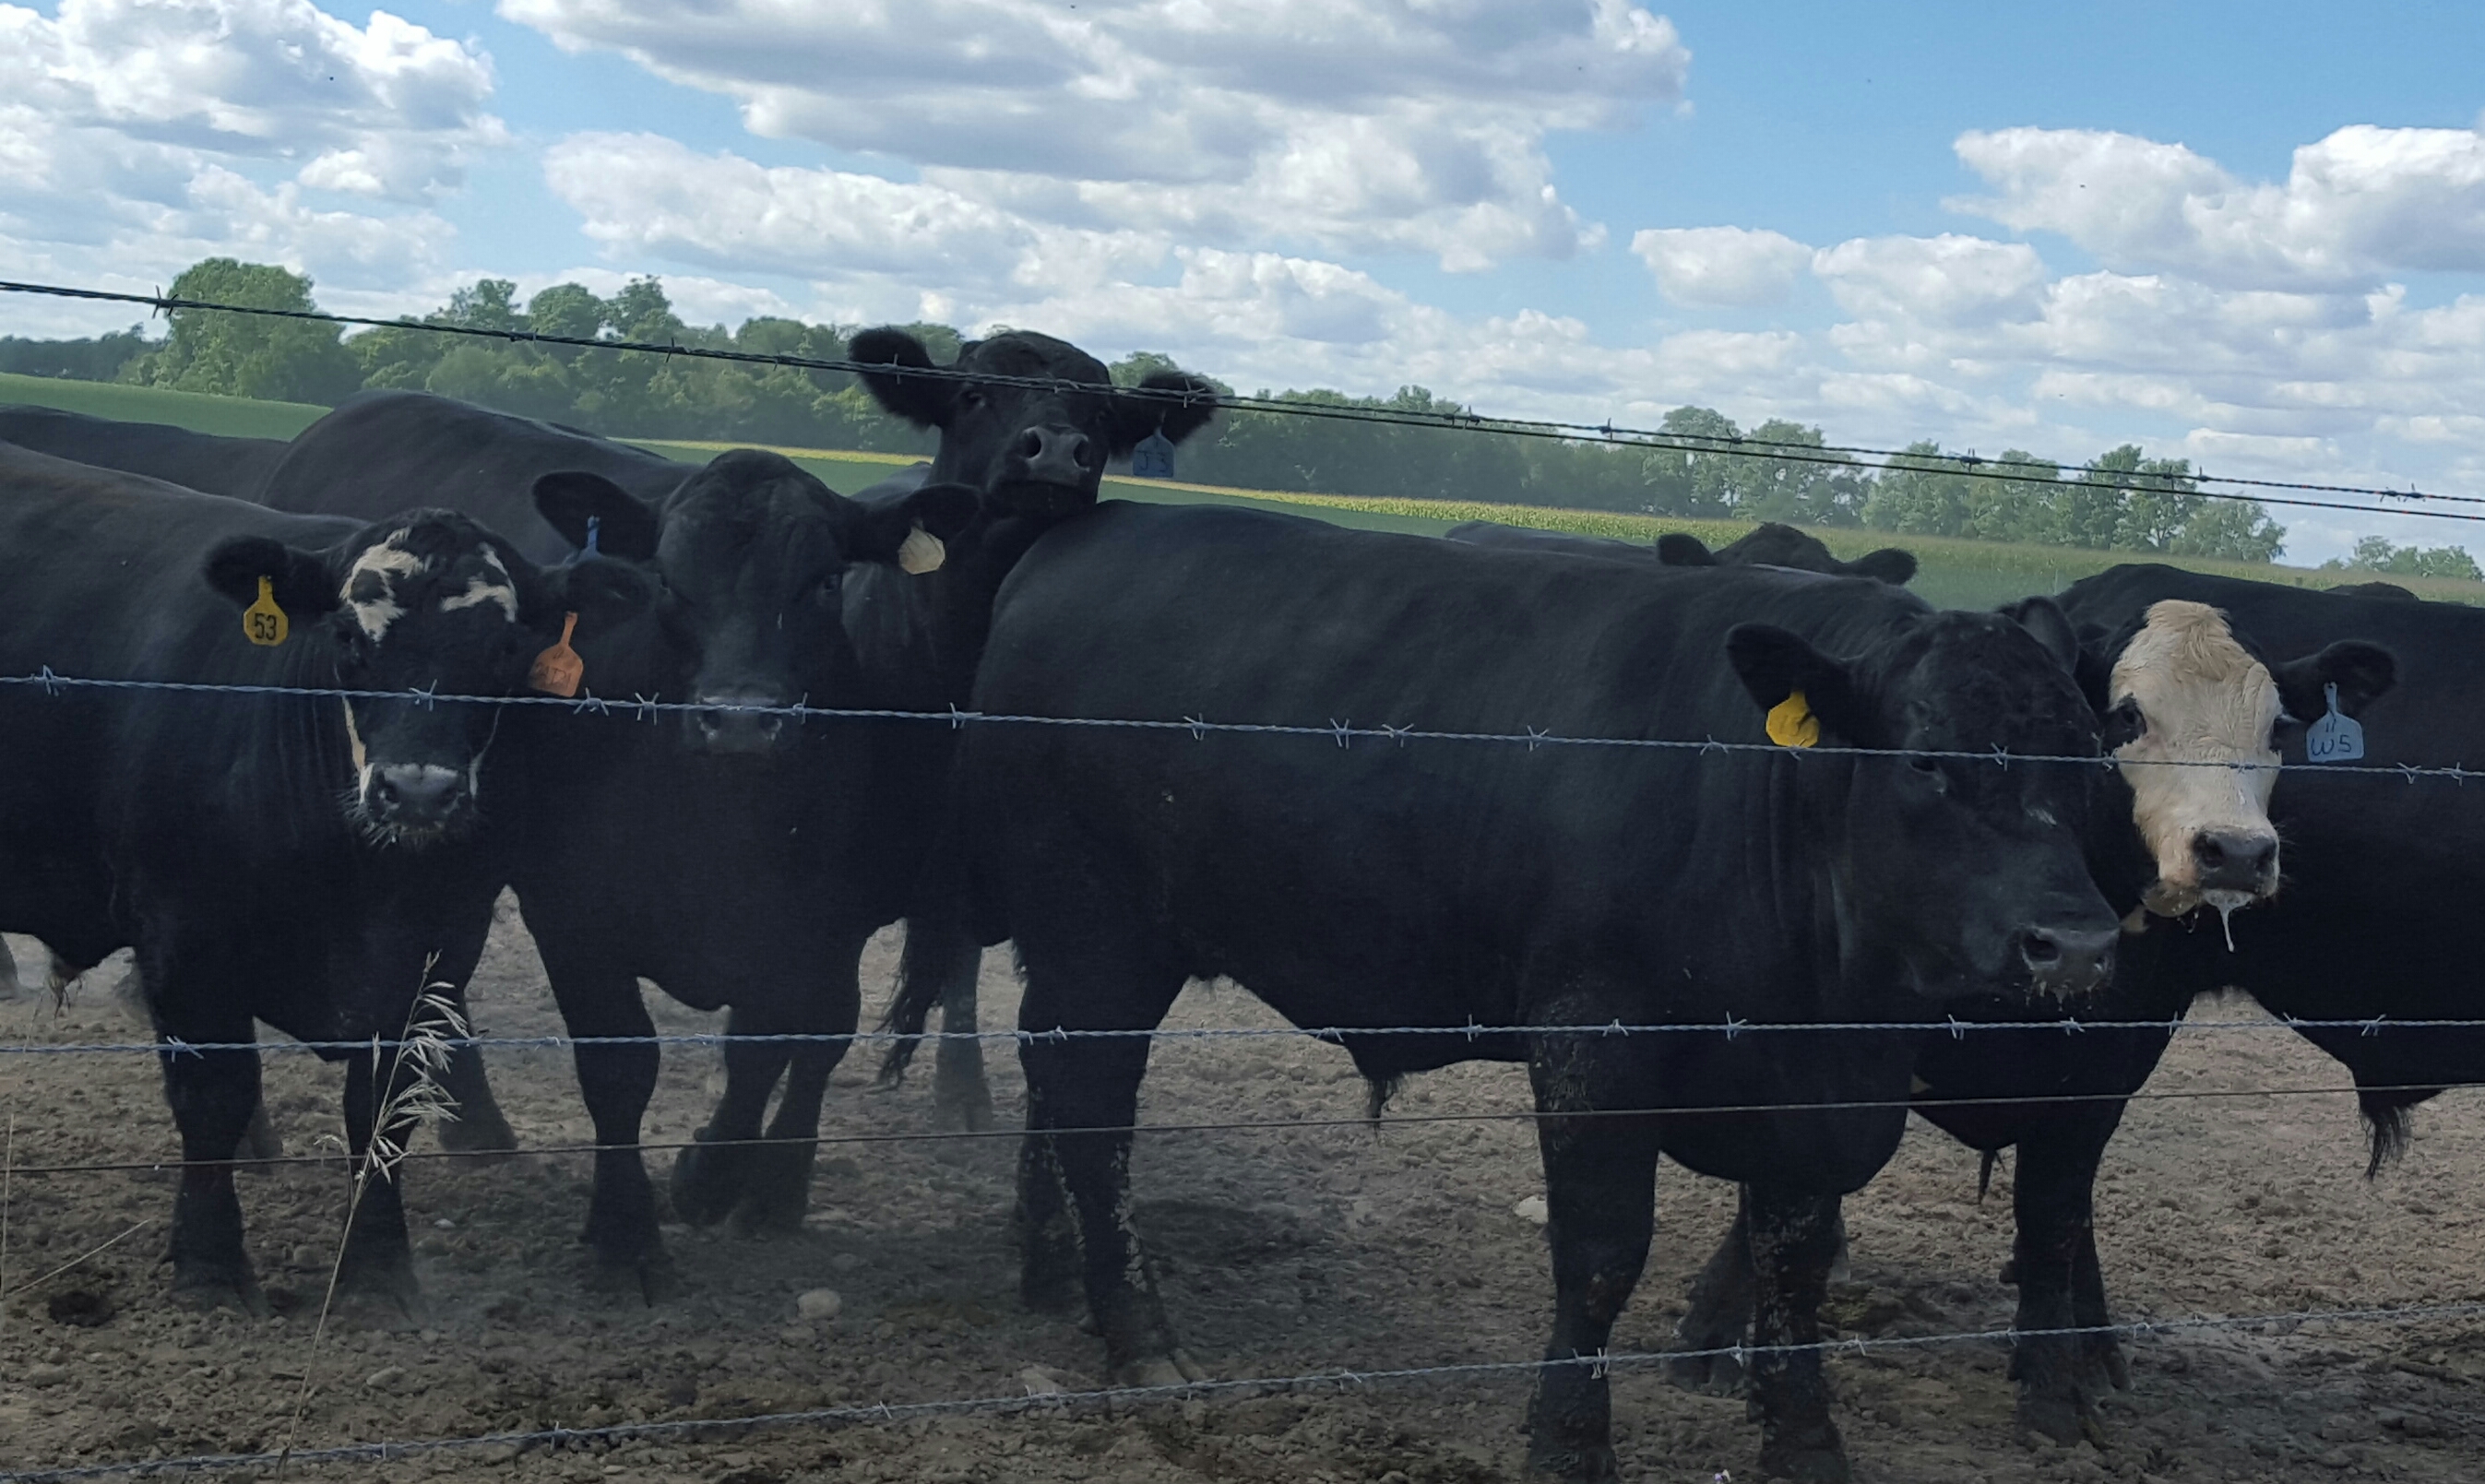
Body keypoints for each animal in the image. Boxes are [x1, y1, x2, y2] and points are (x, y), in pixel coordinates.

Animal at [0, 441, 646, 1313]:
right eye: (347, 636)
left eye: (504, 650)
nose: (416, 790)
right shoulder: (182, 935)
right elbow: (213, 1095)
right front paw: (210, 1264)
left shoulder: (437, 944)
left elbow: (381, 1105)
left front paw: (376, 1263)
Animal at [945, 499, 2123, 1482]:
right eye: (1927, 761)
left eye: (2090, 755)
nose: (2076, 943)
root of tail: (1098, 527)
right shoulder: (1594, 1039)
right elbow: (1601, 1257)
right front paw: (1568, 1446)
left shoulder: (1820, 1096)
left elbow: (1794, 1268)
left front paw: (1808, 1449)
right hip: (1094, 931)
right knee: (1091, 1110)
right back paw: (1142, 1340)